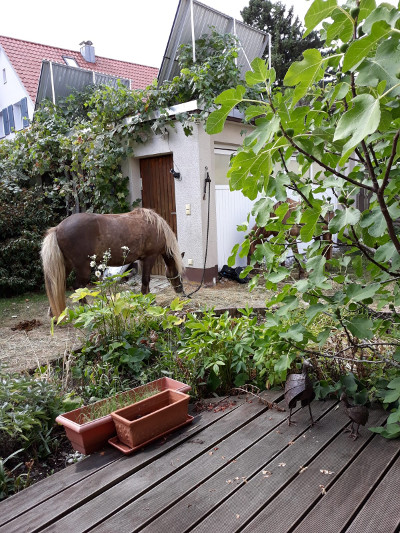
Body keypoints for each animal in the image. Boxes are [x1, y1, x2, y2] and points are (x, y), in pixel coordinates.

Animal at [40, 207, 184, 316]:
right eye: (180, 273)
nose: (180, 291)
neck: (155, 226)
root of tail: (57, 228)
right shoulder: (150, 257)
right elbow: (146, 280)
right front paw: (146, 300)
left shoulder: (143, 259)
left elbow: (146, 281)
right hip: (83, 269)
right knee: (77, 287)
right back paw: (87, 309)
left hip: (66, 265)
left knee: (57, 287)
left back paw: (55, 314)